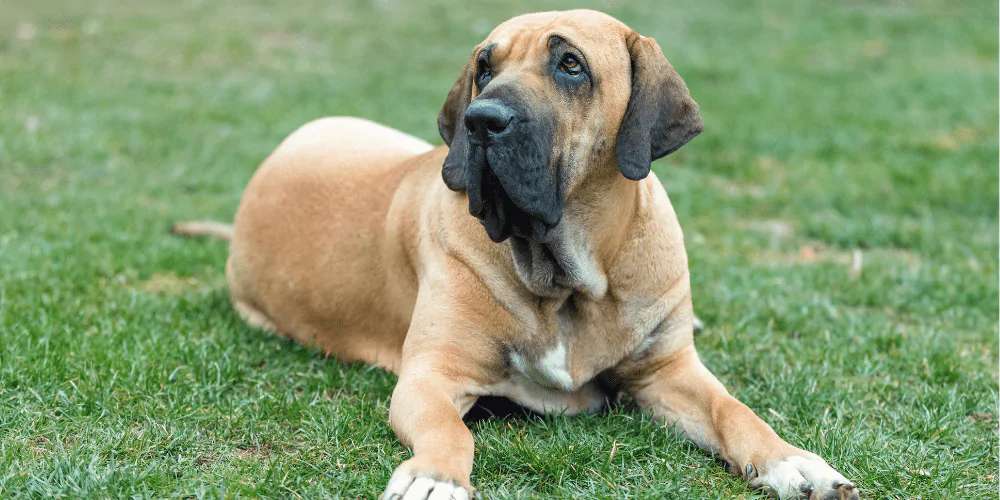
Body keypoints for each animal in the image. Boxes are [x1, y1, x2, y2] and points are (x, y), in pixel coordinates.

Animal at [174, 8, 860, 500]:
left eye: (571, 64)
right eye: (484, 66)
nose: (480, 120)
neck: (569, 278)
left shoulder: (667, 371)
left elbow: (734, 411)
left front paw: (795, 463)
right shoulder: (430, 376)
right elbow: (447, 429)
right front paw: (436, 477)